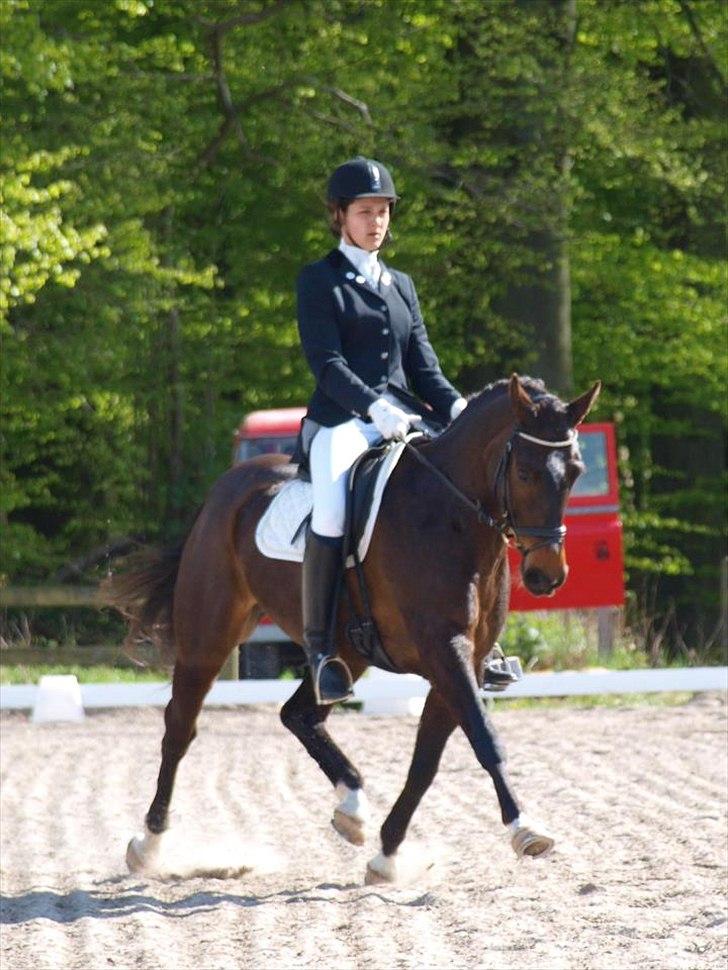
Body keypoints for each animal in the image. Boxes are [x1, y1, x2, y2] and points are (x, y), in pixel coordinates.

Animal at [107, 373, 600, 884]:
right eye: (524, 473)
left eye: (576, 472)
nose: (547, 575)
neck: (452, 517)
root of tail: (224, 488)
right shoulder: (446, 650)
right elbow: (484, 738)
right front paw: (526, 828)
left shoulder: (466, 658)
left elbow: (426, 761)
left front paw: (387, 853)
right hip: (209, 637)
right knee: (180, 727)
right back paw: (148, 844)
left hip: (348, 650)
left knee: (298, 714)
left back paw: (353, 807)